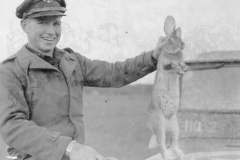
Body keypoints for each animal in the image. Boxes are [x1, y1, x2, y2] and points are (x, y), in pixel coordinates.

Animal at [147, 15, 188, 160]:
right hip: (161, 125)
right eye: (170, 40)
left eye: (181, 38)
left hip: (175, 127)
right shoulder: (165, 64)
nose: (182, 44)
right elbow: (173, 65)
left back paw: (182, 155)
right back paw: (168, 156)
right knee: (162, 146)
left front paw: (185, 69)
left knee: (173, 144)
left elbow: (181, 63)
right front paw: (179, 70)